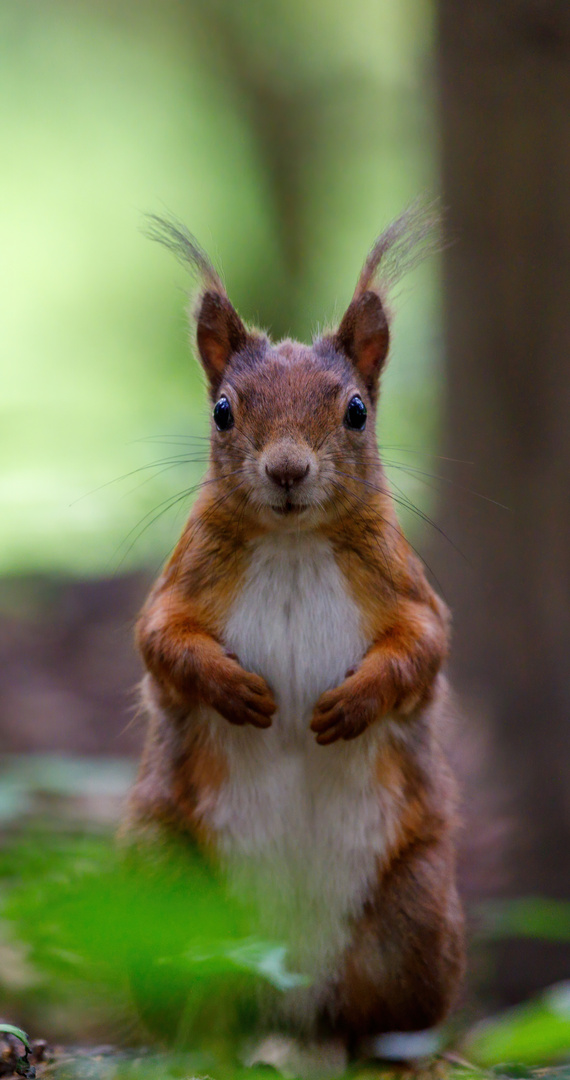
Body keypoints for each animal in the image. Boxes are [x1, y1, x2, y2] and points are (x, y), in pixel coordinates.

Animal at [123, 206, 462, 1049]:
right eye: (222, 410)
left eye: (356, 411)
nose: (285, 470)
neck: (292, 541)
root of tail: (291, 993)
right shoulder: (181, 581)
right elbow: (159, 638)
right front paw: (234, 690)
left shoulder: (408, 589)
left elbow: (425, 647)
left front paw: (352, 704)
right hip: (160, 887)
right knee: (194, 1007)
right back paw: (201, 1043)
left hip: (418, 914)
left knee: (382, 1021)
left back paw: (403, 1055)